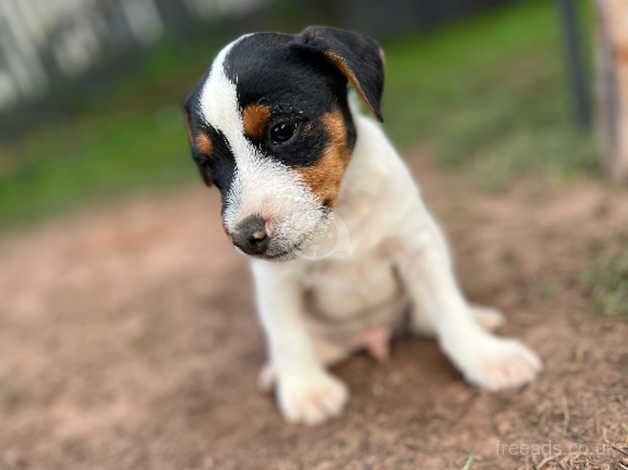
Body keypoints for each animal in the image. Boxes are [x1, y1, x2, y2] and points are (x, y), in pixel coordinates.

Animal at [182, 25, 540, 426]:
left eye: (283, 130)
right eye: (208, 165)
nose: (245, 238)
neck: (341, 212)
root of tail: (372, 335)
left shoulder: (416, 248)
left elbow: (448, 307)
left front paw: (487, 357)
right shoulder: (276, 282)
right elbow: (287, 335)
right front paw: (305, 390)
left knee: (426, 315)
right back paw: (281, 372)